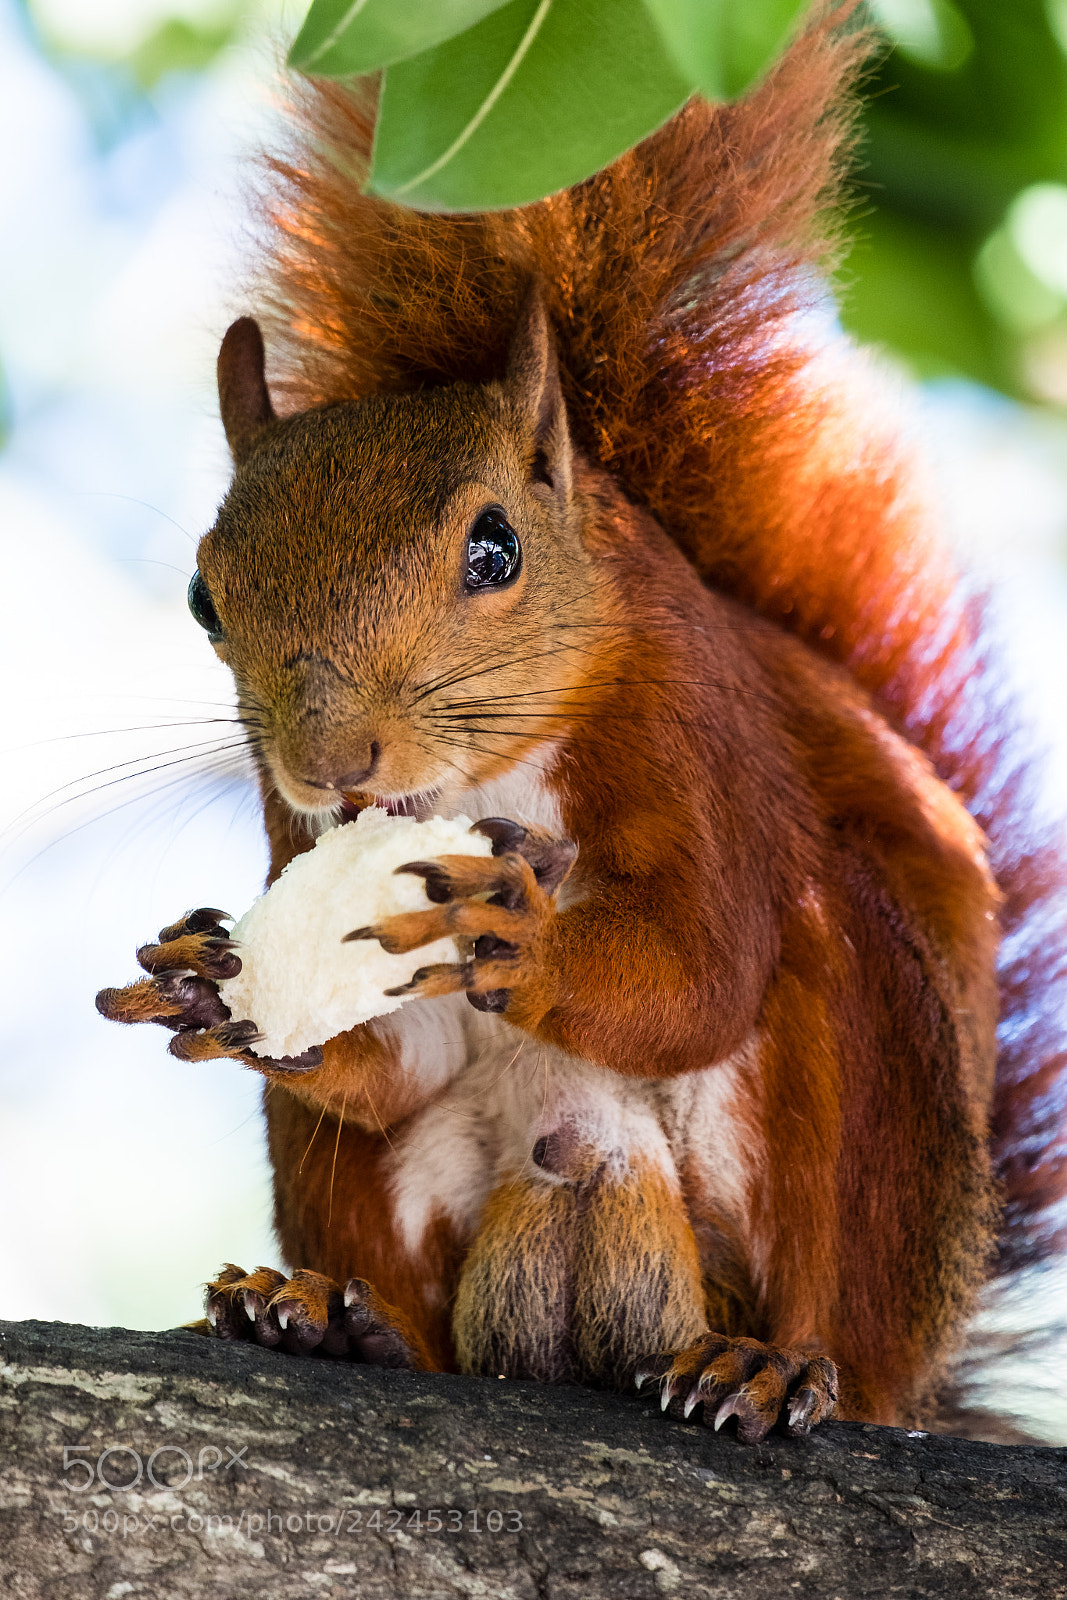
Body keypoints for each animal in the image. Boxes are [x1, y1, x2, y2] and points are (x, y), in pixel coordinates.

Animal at [96, 14, 1067, 1443]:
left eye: (495, 548)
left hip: (864, 1111)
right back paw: (330, 1318)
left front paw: (527, 937)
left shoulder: (700, 725)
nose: (332, 766)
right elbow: (395, 1059)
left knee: (826, 1259)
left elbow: (703, 970)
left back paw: (773, 1366)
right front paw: (205, 982)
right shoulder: (296, 833)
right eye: (203, 597)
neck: (490, 771)